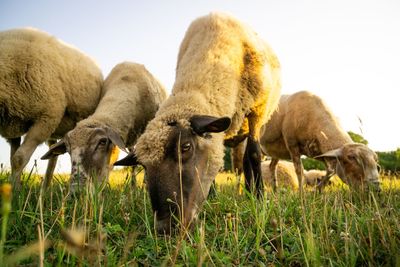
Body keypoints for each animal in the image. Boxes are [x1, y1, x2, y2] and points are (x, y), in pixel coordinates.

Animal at [0, 27, 103, 186]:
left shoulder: (47, 117)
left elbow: (19, 159)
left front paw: (16, 191)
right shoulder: (13, 125)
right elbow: (13, 159)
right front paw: (13, 186)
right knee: (53, 156)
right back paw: (46, 188)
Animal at [114, 12, 280, 234]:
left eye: (186, 147)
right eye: (143, 166)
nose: (166, 227)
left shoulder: (257, 112)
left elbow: (254, 155)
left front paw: (260, 198)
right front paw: (212, 198)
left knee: (247, 158)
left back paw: (251, 193)